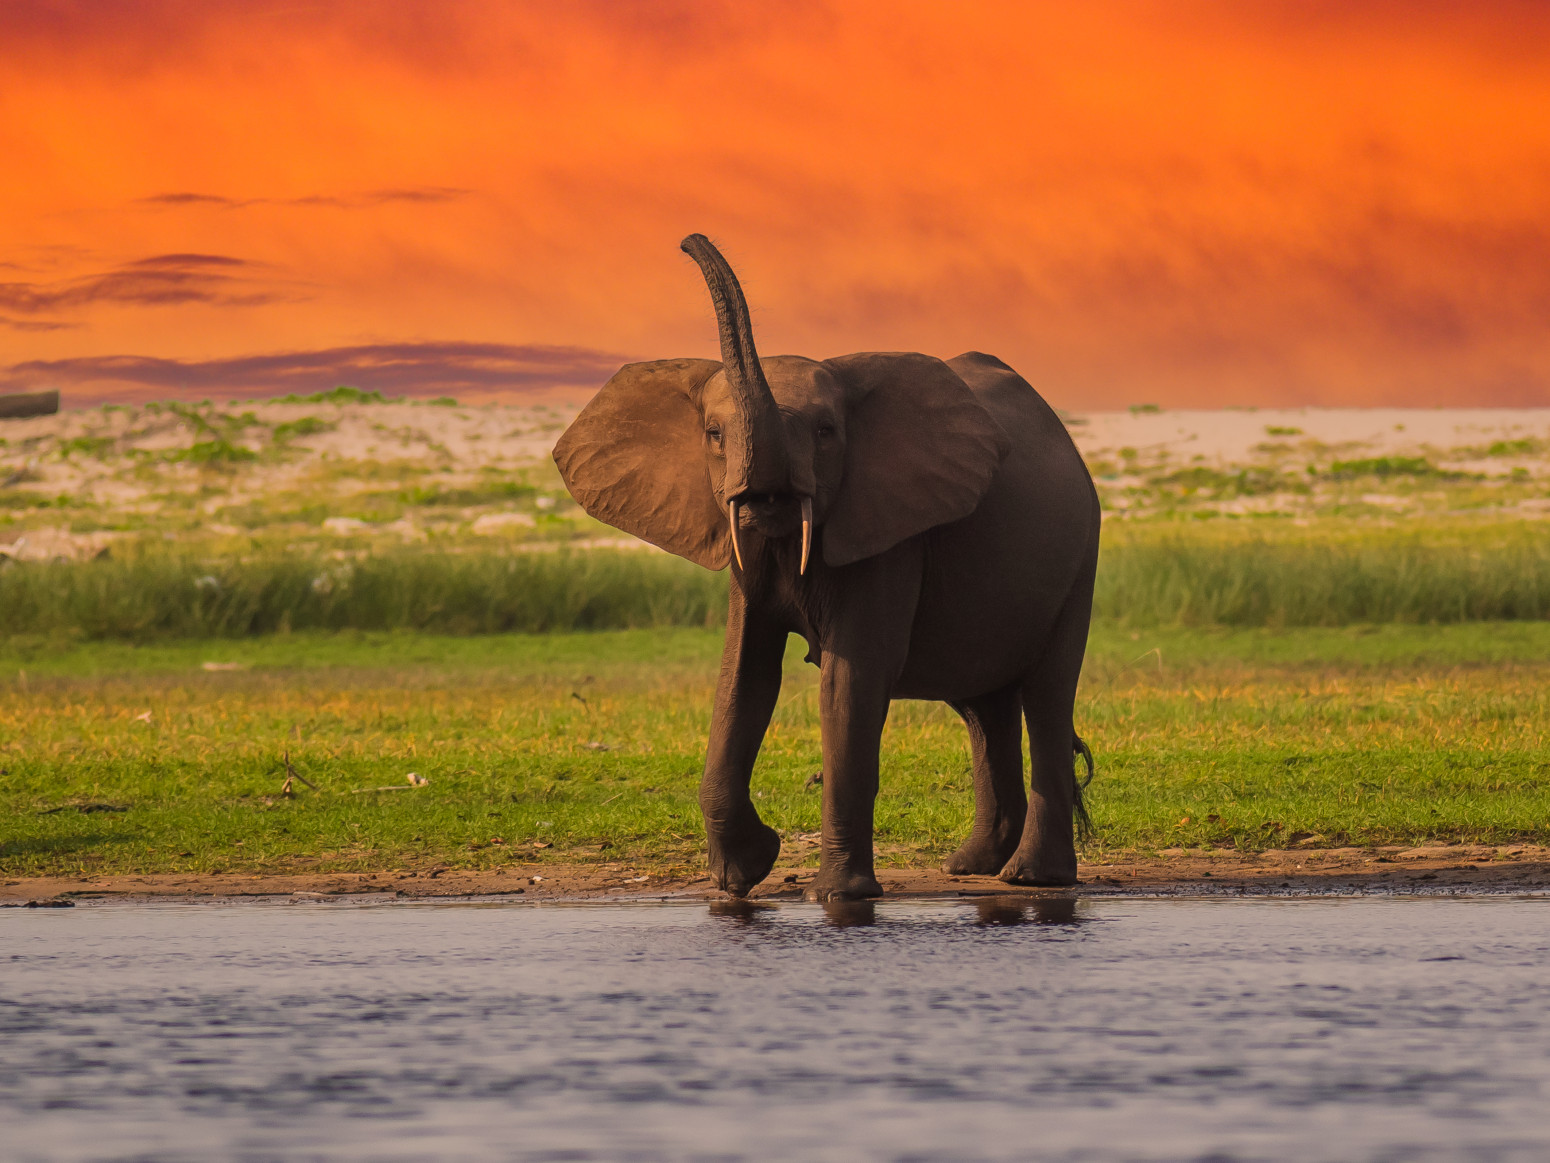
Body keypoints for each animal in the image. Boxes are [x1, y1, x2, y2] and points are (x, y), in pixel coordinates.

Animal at [558, 237, 1103, 905]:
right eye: (713, 435)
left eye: (825, 432)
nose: (687, 242)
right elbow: (742, 674)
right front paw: (741, 877)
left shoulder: (888, 535)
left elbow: (851, 681)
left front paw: (839, 896)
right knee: (983, 707)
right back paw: (970, 869)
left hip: (1080, 555)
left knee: (1046, 698)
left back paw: (1031, 878)